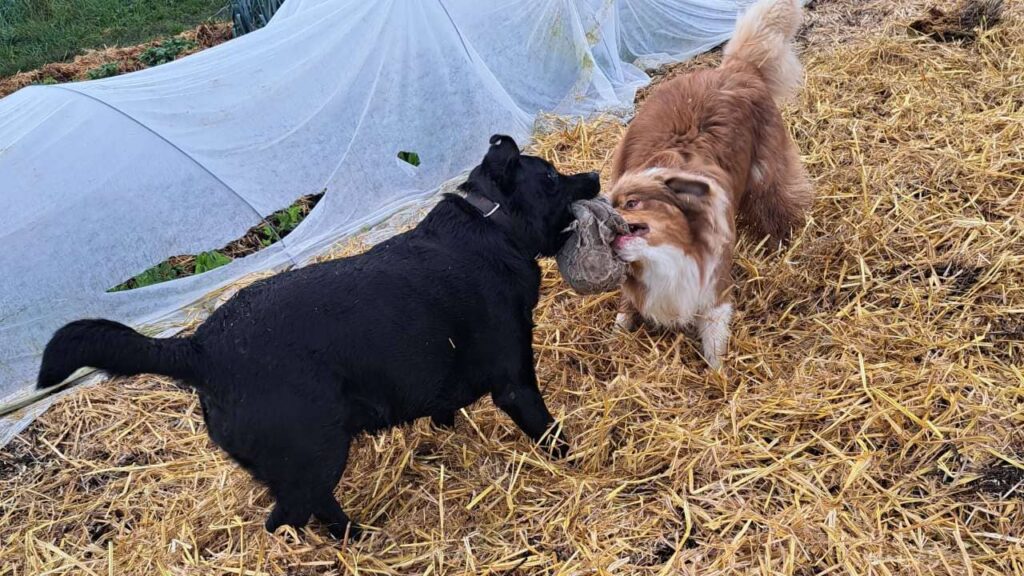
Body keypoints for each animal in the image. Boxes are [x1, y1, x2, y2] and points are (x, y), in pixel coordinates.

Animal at [37, 134, 598, 537]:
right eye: (551, 177)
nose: (592, 175)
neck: (492, 224)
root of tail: (199, 350)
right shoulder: (515, 381)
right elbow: (551, 434)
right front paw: (577, 463)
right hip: (316, 455)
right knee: (286, 519)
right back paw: (355, 540)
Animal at [602, 0, 811, 366]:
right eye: (609, 203)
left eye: (632, 203)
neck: (666, 259)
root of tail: (736, 68)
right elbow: (626, 309)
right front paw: (616, 339)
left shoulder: (715, 287)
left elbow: (714, 341)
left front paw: (719, 375)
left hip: (767, 175)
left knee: (780, 203)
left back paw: (785, 241)